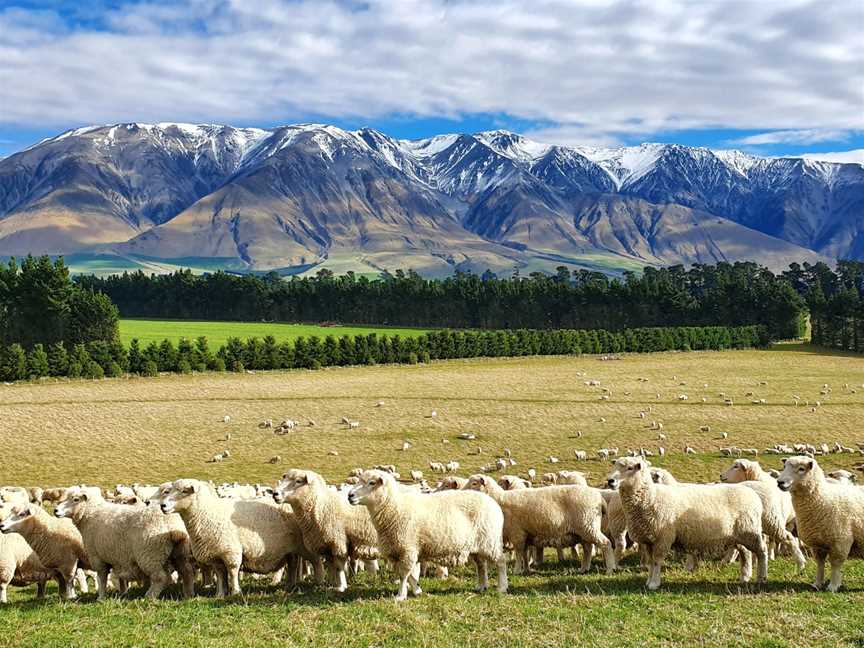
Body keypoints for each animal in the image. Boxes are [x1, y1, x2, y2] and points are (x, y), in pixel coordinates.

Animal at [348, 468, 506, 600]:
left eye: (371, 482)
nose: (350, 495)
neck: (394, 508)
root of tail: (493, 503)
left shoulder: (407, 548)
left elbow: (404, 574)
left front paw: (400, 595)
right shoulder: (398, 550)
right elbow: (409, 574)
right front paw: (417, 590)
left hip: (490, 541)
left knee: (501, 562)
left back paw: (502, 587)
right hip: (477, 545)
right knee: (481, 565)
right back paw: (481, 586)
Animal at [608, 458, 768, 588]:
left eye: (630, 468)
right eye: (614, 466)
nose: (610, 481)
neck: (651, 498)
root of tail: (752, 494)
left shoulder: (662, 538)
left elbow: (657, 561)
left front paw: (654, 584)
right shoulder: (648, 540)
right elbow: (650, 563)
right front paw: (648, 581)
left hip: (750, 531)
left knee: (762, 551)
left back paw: (761, 577)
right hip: (739, 535)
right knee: (746, 554)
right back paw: (745, 576)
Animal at [776, 456, 864, 592]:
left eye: (801, 469)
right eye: (784, 466)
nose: (780, 482)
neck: (823, 499)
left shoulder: (841, 541)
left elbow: (835, 564)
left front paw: (833, 586)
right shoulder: (817, 543)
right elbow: (820, 563)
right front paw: (817, 583)